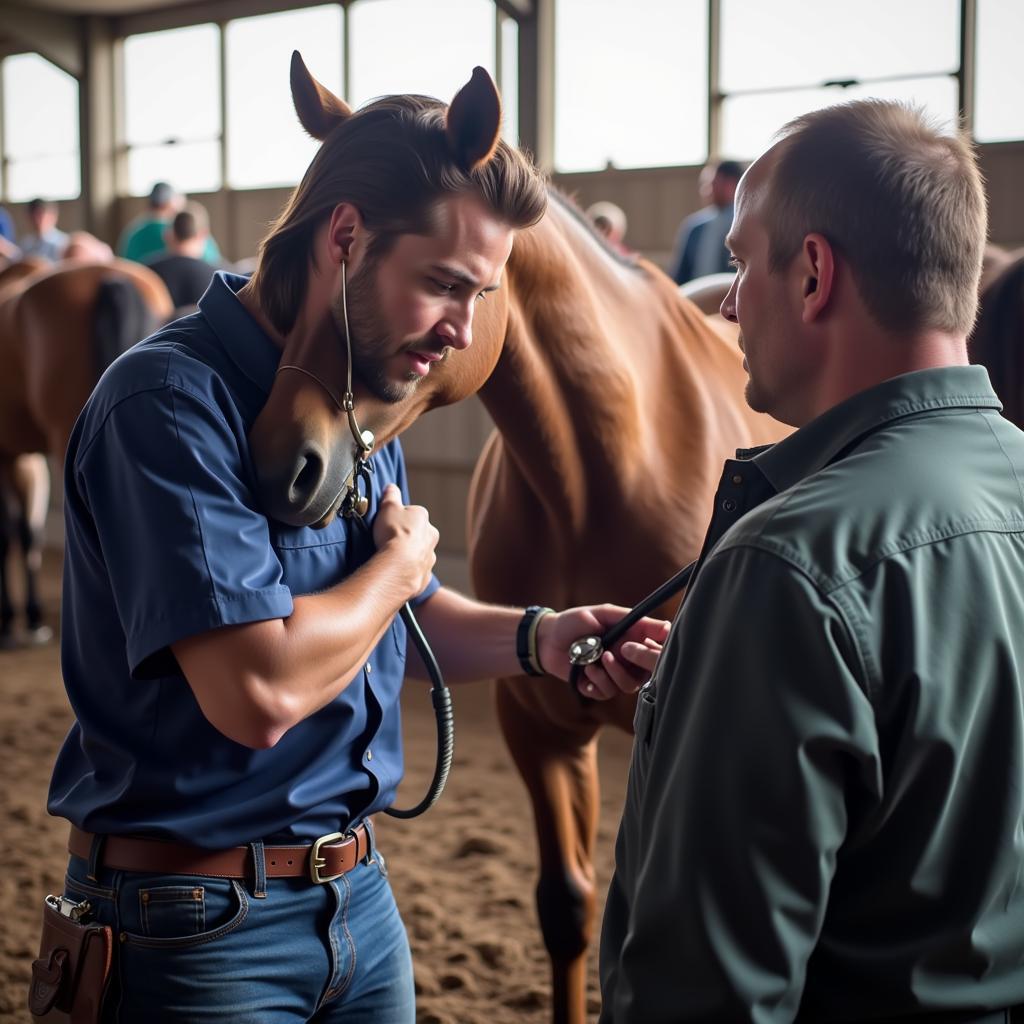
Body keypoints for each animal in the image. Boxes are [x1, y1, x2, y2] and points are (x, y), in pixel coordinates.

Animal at [245, 58, 774, 1024]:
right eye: (294, 262)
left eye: (443, 282)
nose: (281, 465)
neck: (603, 472)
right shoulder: (542, 721)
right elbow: (568, 907)